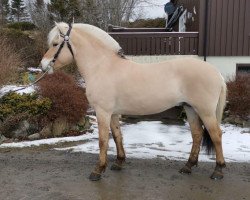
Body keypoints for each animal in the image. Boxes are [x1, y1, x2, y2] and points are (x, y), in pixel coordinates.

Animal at [40, 21, 227, 181]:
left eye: (55, 44)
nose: (42, 65)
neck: (103, 67)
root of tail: (217, 73)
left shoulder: (102, 112)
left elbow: (103, 140)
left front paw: (98, 170)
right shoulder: (113, 113)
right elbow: (117, 136)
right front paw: (119, 162)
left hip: (205, 111)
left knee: (216, 135)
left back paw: (218, 170)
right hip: (191, 109)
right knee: (197, 134)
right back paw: (188, 166)